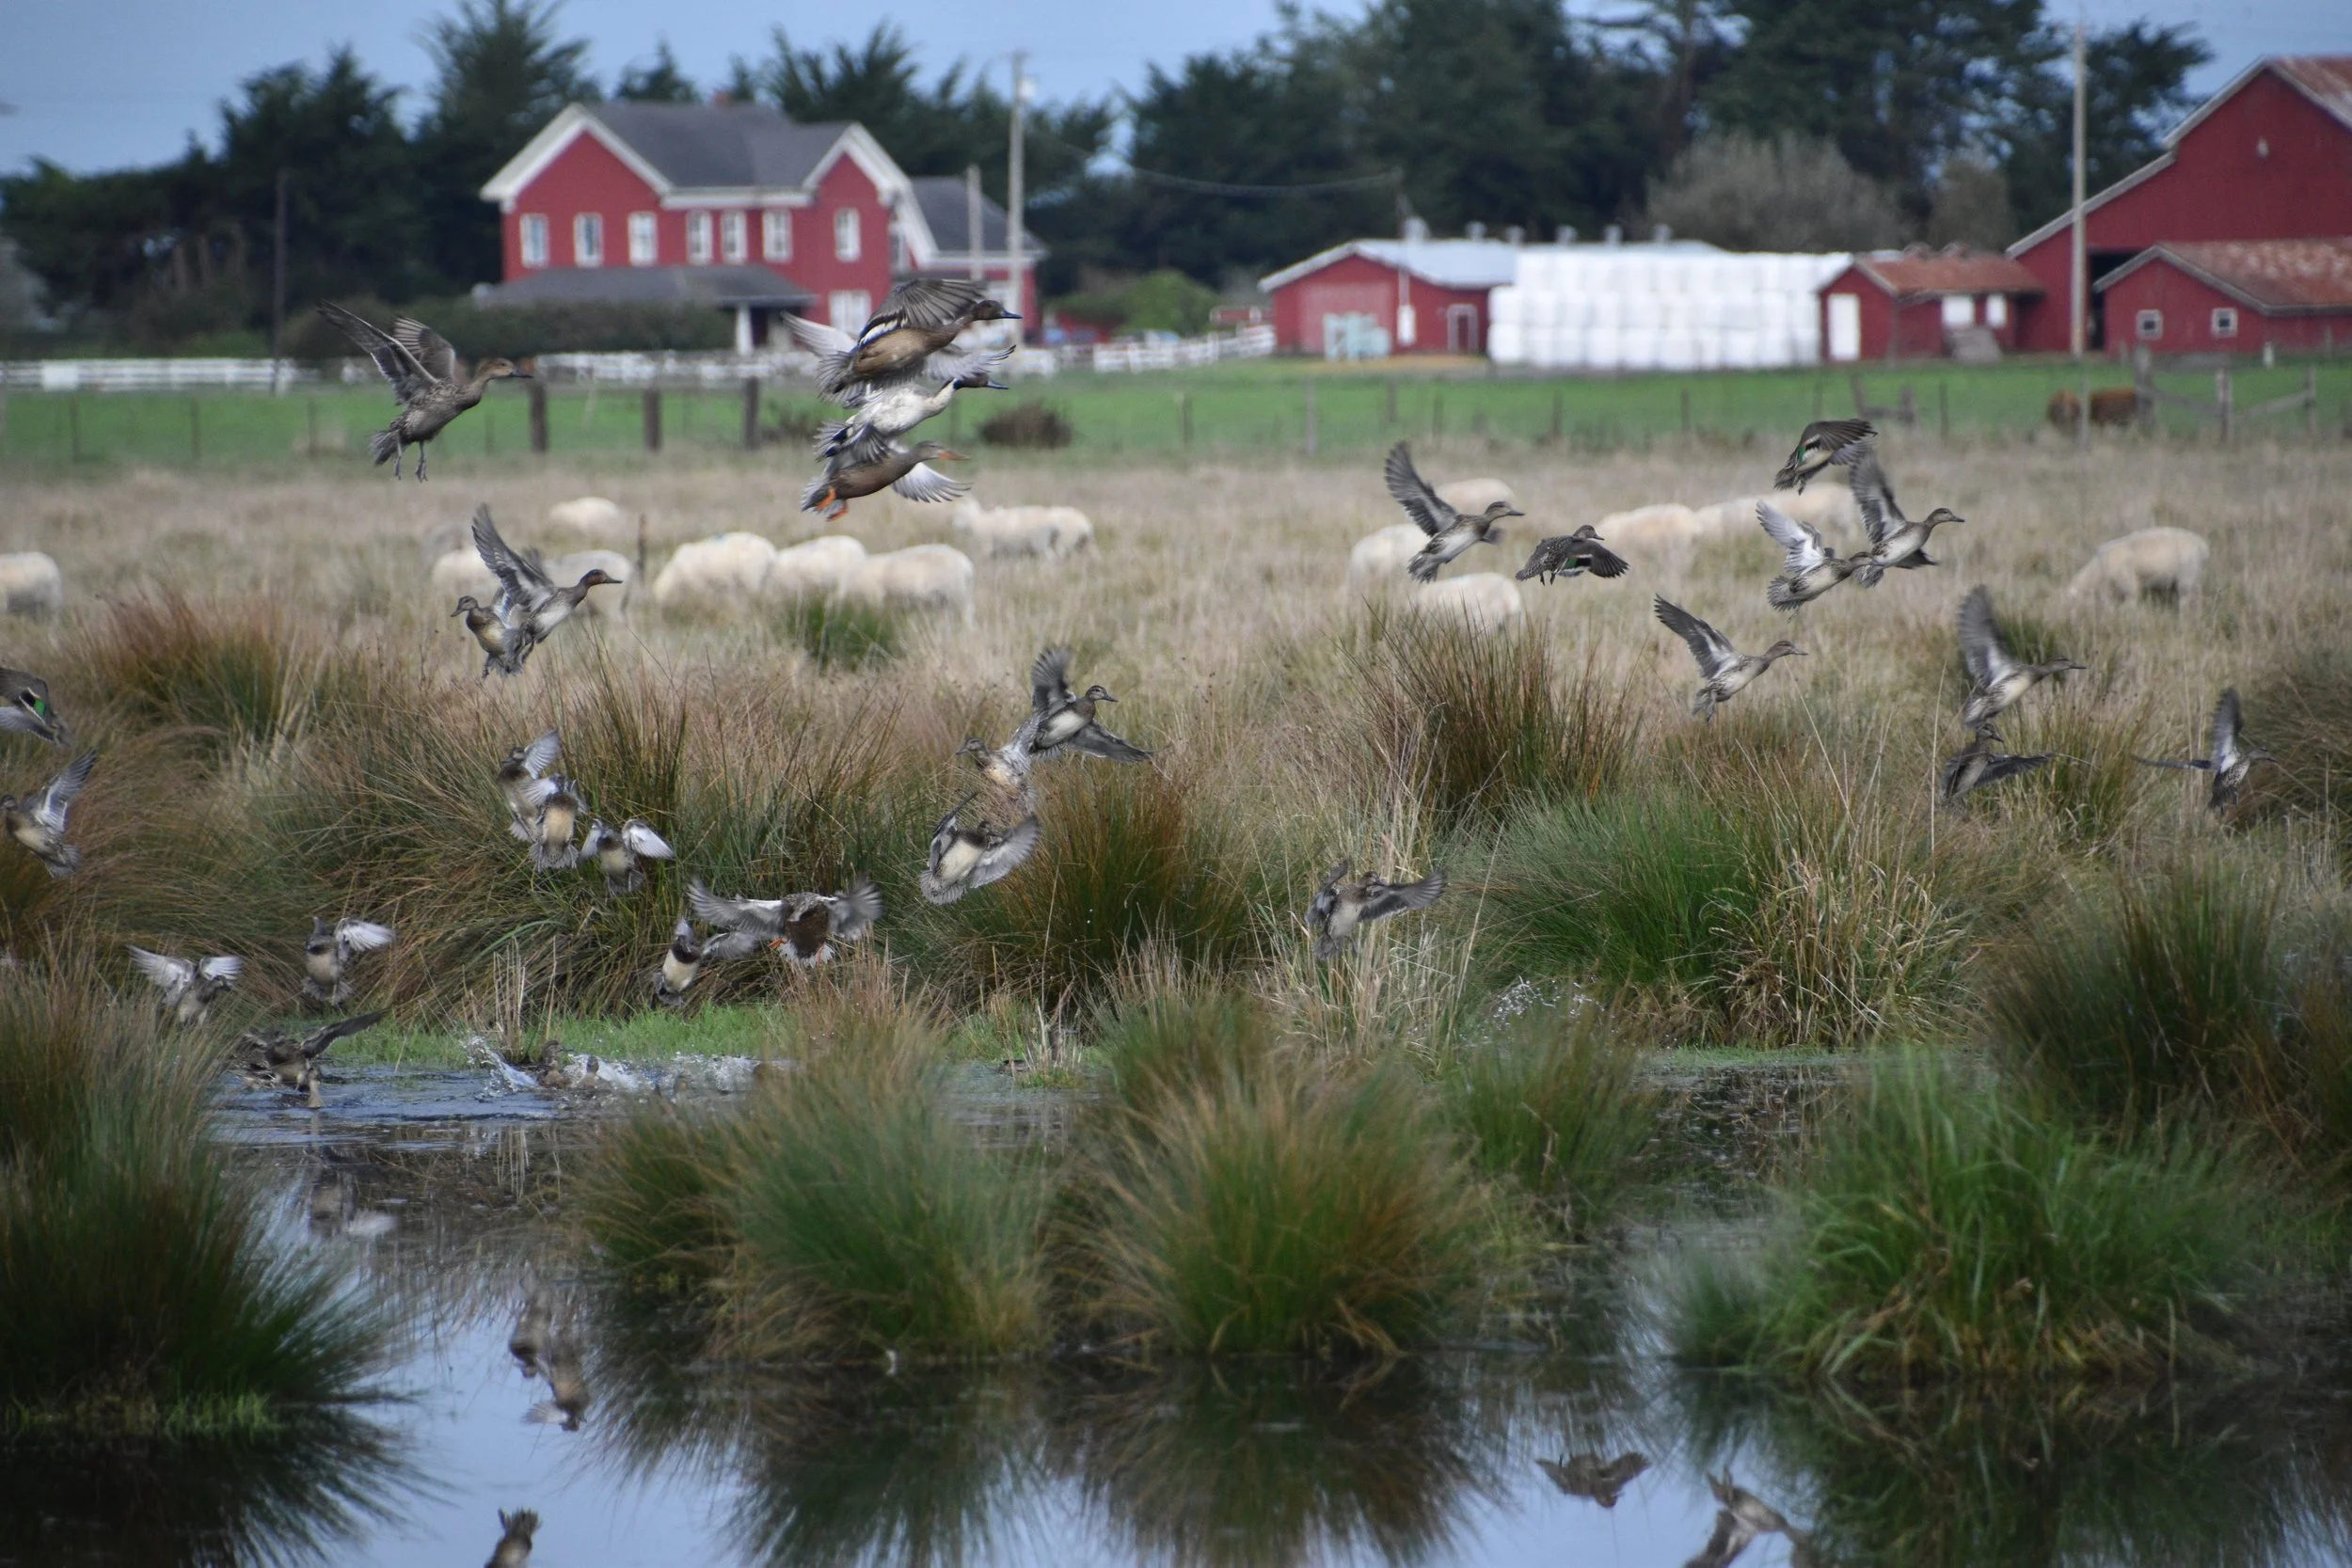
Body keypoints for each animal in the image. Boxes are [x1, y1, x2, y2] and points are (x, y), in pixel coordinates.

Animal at [949, 499, 1095, 559]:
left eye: (959, 513)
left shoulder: (985, 546)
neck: (976, 520)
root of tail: (1085, 524)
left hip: (1046, 542)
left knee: (1053, 556)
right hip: (1084, 544)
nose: (953, 525)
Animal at [2065, 527, 2209, 606]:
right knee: (2197, 598)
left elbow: (2131, 596)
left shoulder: (2125, 579)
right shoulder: (2109, 588)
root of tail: (2203, 546)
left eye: (2069, 605)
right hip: (2195, 577)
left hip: (2187, 574)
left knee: (2186, 597)